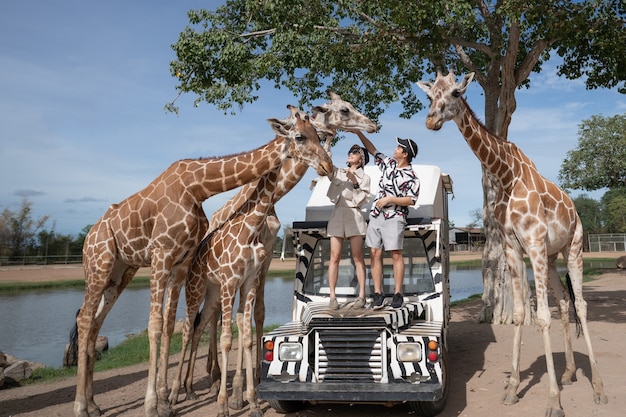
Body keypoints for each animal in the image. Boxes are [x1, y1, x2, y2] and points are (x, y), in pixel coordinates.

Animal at [69, 113, 332, 416]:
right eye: (300, 136)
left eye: (318, 134)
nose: (328, 165)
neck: (197, 187)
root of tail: (89, 235)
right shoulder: (163, 255)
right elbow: (157, 325)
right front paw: (155, 404)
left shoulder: (185, 262)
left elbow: (174, 325)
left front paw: (167, 400)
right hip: (99, 265)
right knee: (85, 319)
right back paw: (80, 406)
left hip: (121, 273)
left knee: (96, 324)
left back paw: (93, 404)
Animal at [168, 96, 376, 410]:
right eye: (344, 109)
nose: (373, 125)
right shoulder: (241, 271)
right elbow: (239, 321)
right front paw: (237, 395)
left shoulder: (263, 261)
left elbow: (257, 315)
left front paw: (250, 384)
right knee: (202, 321)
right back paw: (189, 385)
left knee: (208, 319)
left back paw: (208, 380)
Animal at [416, 70, 608, 414]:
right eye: (429, 95)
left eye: (455, 93)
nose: (431, 120)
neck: (506, 177)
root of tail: (575, 208)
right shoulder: (513, 248)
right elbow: (520, 313)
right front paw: (512, 388)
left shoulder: (533, 244)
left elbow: (541, 316)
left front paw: (553, 401)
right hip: (552, 257)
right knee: (564, 300)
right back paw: (570, 372)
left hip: (572, 247)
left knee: (582, 305)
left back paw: (598, 387)